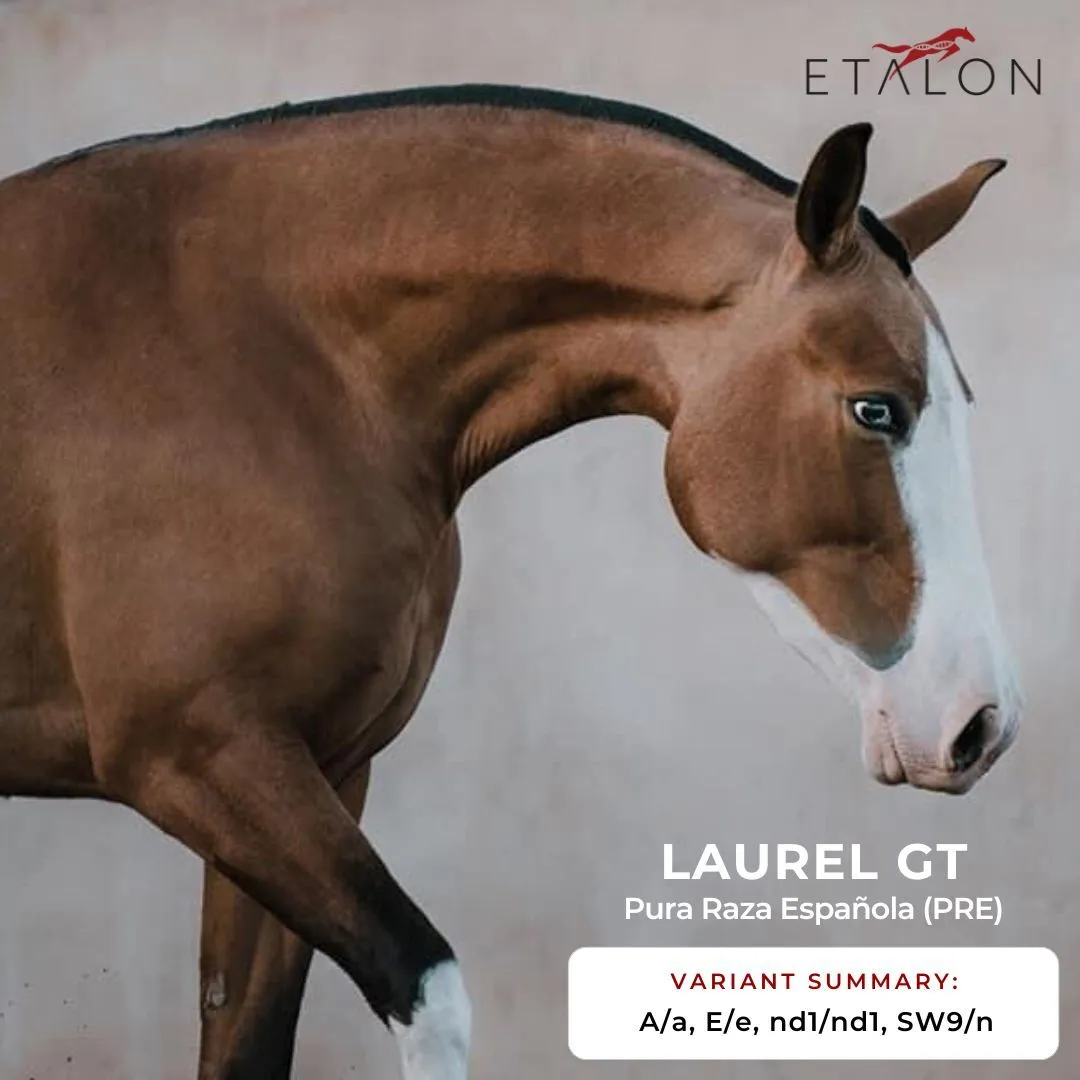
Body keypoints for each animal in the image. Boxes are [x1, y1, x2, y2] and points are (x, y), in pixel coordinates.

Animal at [0, 84, 1020, 1080]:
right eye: (875, 408)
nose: (982, 723)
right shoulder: (199, 753)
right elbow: (428, 988)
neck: (279, 361)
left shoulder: (318, 767)